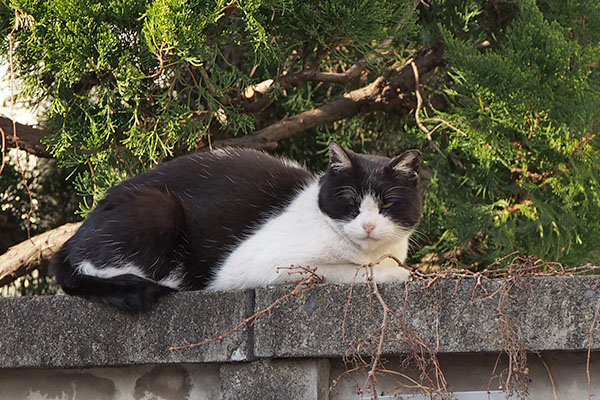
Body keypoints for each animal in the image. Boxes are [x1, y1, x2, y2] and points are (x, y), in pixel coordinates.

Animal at [50, 141, 422, 312]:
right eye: (350, 202)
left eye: (387, 205)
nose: (369, 226)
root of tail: (68, 243)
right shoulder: (256, 265)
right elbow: (344, 270)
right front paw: (395, 273)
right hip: (157, 207)